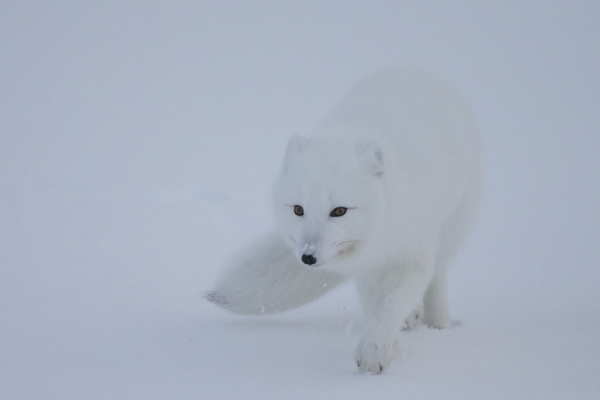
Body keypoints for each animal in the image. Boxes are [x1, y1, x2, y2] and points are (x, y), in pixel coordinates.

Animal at [206, 67, 482, 374]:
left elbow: (390, 304)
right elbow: (376, 305)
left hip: (452, 227)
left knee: (438, 274)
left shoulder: (412, 256)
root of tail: (416, 70)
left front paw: (375, 351)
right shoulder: (367, 269)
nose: (308, 257)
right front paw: (391, 345)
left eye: (339, 211)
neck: (383, 225)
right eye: (298, 209)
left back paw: (439, 323)